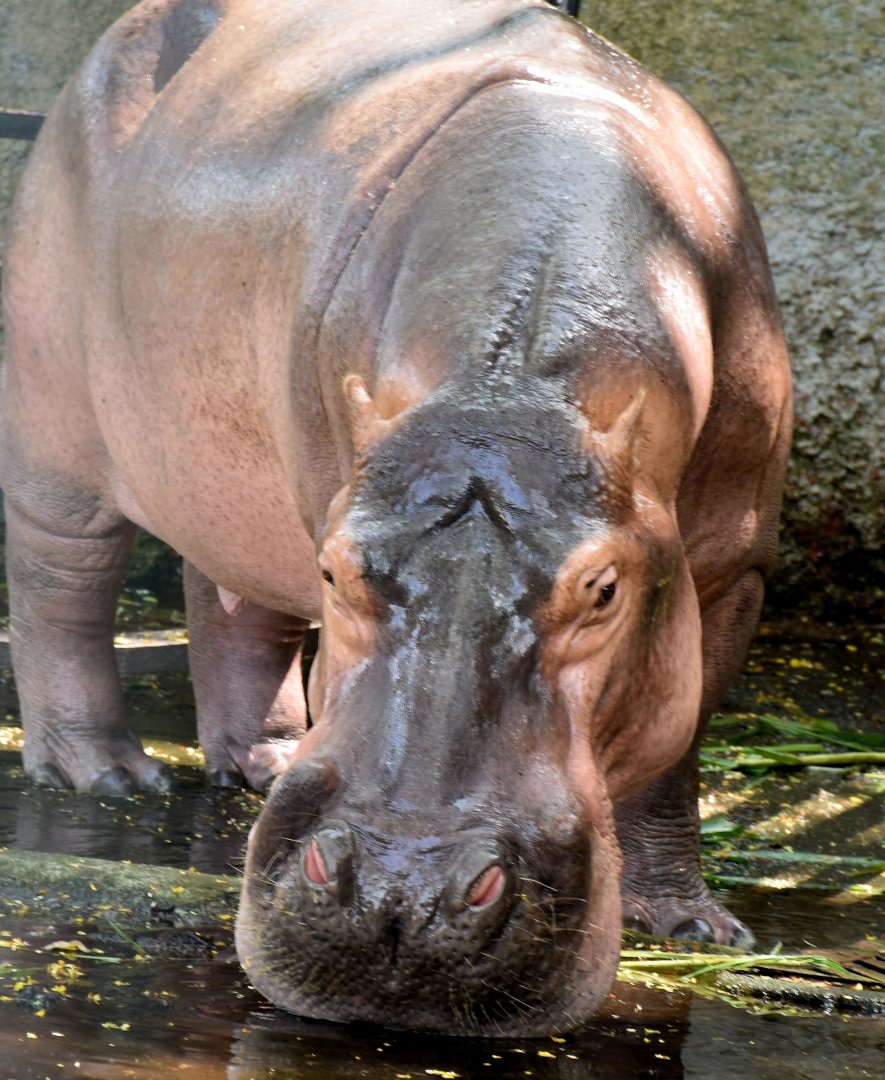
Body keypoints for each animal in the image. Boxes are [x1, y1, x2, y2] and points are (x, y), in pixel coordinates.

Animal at [0, 0, 791, 1036]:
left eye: (604, 590)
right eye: (337, 572)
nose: (398, 898)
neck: (508, 387)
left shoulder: (733, 565)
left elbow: (677, 747)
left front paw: (696, 928)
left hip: (237, 474)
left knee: (228, 598)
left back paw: (264, 761)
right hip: (55, 434)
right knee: (63, 586)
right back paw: (110, 773)